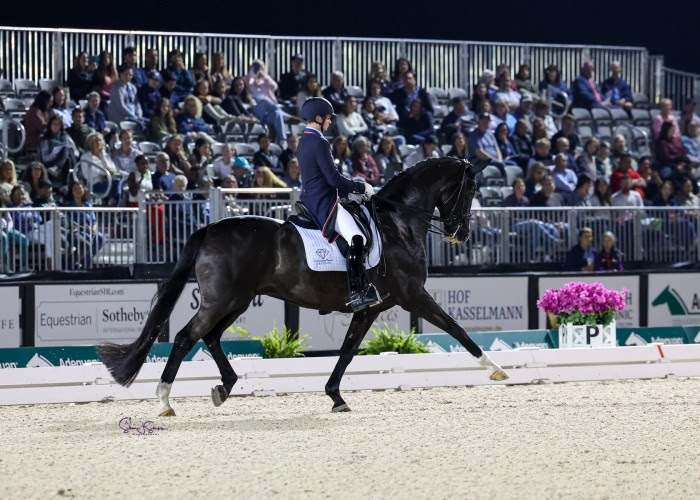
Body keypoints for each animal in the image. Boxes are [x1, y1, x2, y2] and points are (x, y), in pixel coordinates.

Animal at [98, 157, 510, 416]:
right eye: (470, 189)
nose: (461, 233)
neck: (398, 224)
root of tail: (210, 229)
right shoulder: (413, 296)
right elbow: (456, 328)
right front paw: (494, 368)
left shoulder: (371, 307)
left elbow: (348, 350)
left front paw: (335, 396)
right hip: (221, 301)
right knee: (187, 336)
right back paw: (166, 401)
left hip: (237, 300)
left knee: (210, 337)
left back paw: (225, 386)